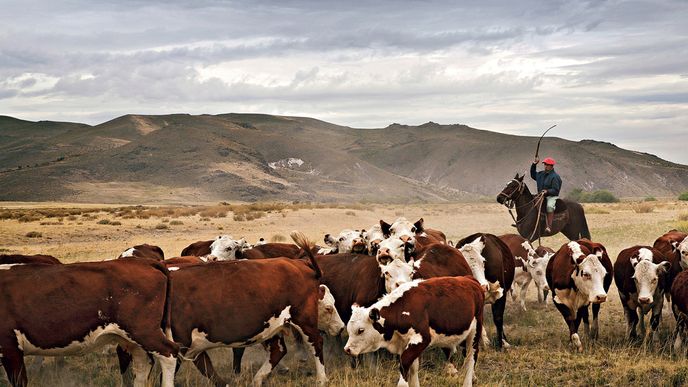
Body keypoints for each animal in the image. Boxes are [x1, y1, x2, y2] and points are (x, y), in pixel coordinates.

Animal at [0, 260, 180, 387]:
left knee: (169, 353)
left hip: (144, 331)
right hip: (132, 338)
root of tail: (144, 262)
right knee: (143, 364)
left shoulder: (10, 347)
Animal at [344, 278, 484, 387]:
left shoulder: (422, 338)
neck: (402, 308)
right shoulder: (405, 343)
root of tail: (470, 280)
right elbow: (413, 368)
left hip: (475, 333)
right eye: (349, 330)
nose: (347, 349)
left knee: (471, 359)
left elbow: (404, 364)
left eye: (360, 330)